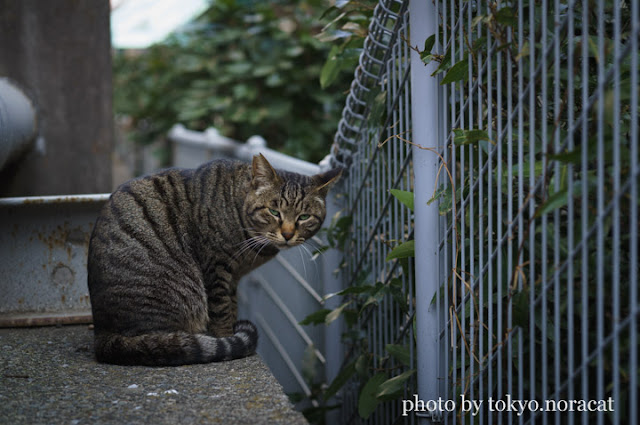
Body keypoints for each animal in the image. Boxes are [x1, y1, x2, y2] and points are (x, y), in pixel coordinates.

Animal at [89, 154, 344, 366]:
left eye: (304, 217)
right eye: (273, 212)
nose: (288, 234)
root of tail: (103, 334)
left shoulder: (233, 277)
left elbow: (231, 305)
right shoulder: (217, 267)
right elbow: (221, 309)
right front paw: (227, 337)